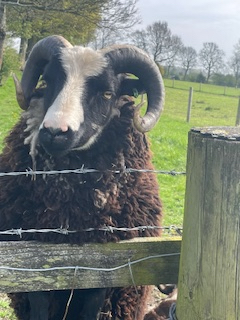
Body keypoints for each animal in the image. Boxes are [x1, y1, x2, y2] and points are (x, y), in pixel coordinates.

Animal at [0, 35, 165, 320]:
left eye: (108, 93)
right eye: (49, 81)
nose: (55, 132)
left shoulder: (105, 266)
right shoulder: (34, 261)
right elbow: (39, 306)